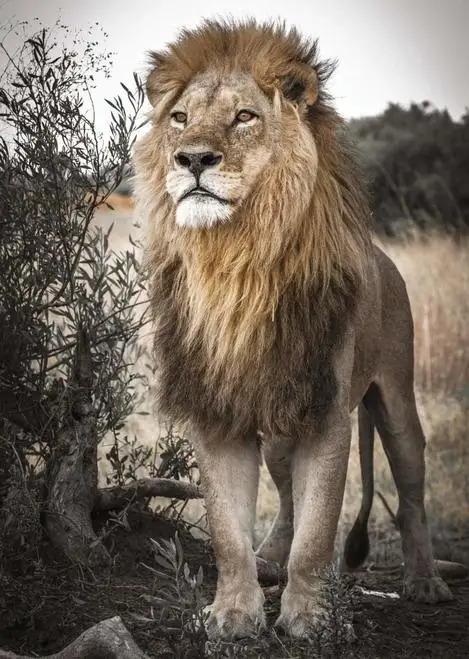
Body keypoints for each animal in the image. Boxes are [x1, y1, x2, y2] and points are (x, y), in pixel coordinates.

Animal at [133, 19, 453, 640]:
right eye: (179, 118)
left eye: (244, 117)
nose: (192, 159)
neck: (236, 260)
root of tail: (384, 256)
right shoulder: (219, 413)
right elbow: (229, 533)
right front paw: (233, 613)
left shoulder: (327, 417)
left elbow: (318, 530)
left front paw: (309, 616)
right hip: (282, 427)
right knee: (283, 500)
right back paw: (268, 560)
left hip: (395, 400)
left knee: (411, 491)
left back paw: (424, 580)